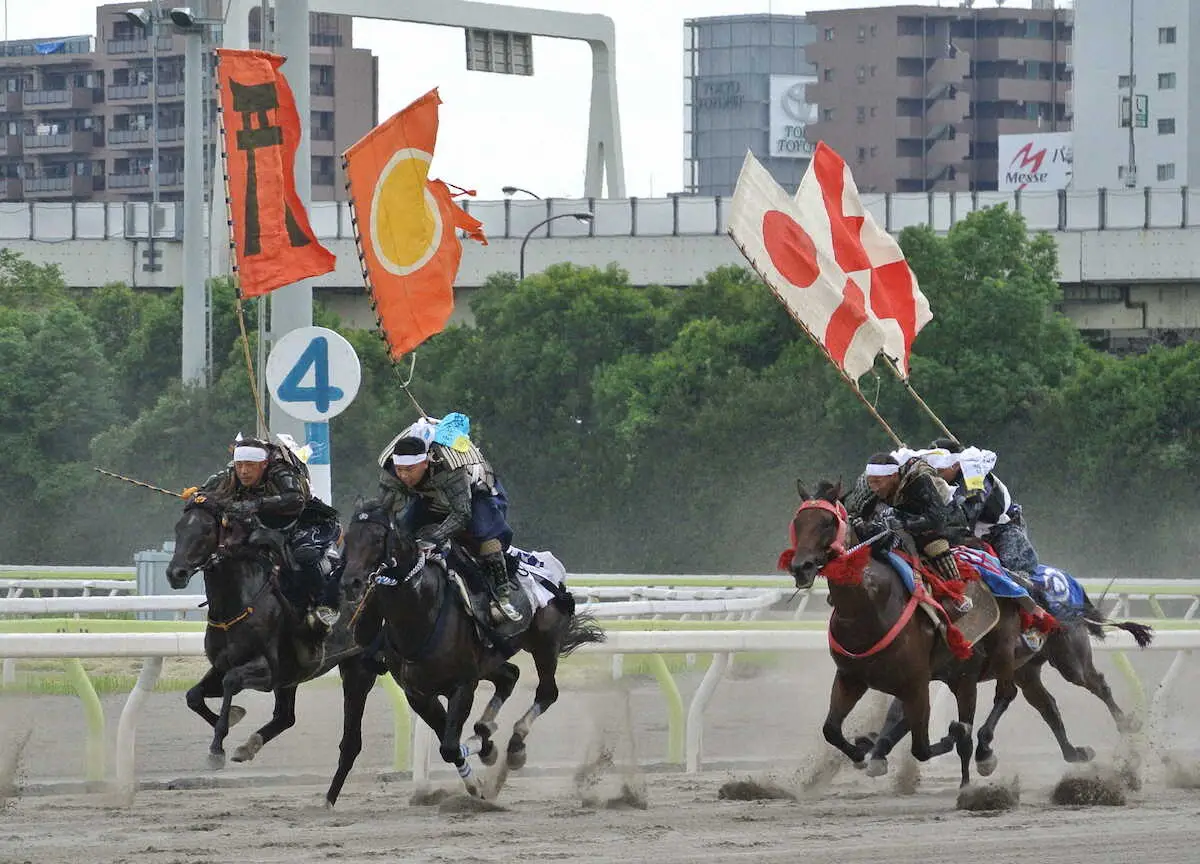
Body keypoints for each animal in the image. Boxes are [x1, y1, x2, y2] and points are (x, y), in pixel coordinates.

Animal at [340, 504, 604, 801]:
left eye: (377, 539)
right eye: (348, 539)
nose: (351, 582)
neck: (420, 614)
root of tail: (554, 577)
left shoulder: (463, 685)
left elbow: (449, 746)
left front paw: (480, 768)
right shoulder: (418, 695)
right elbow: (448, 739)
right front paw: (481, 759)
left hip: (544, 644)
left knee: (547, 692)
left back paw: (515, 745)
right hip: (491, 659)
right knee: (510, 676)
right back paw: (486, 730)